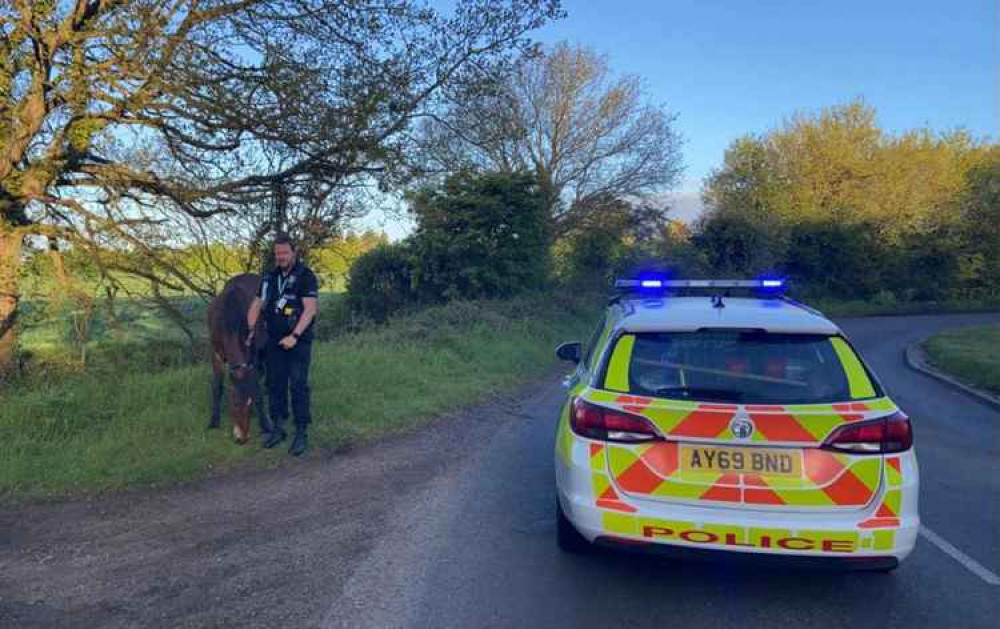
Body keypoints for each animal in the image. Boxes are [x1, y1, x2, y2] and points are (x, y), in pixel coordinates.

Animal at [207, 274, 272, 442]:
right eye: (234, 404)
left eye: (249, 404)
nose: (242, 438)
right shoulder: (215, 354)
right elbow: (217, 387)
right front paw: (214, 420)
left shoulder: (253, 356)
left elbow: (256, 390)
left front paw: (264, 423)